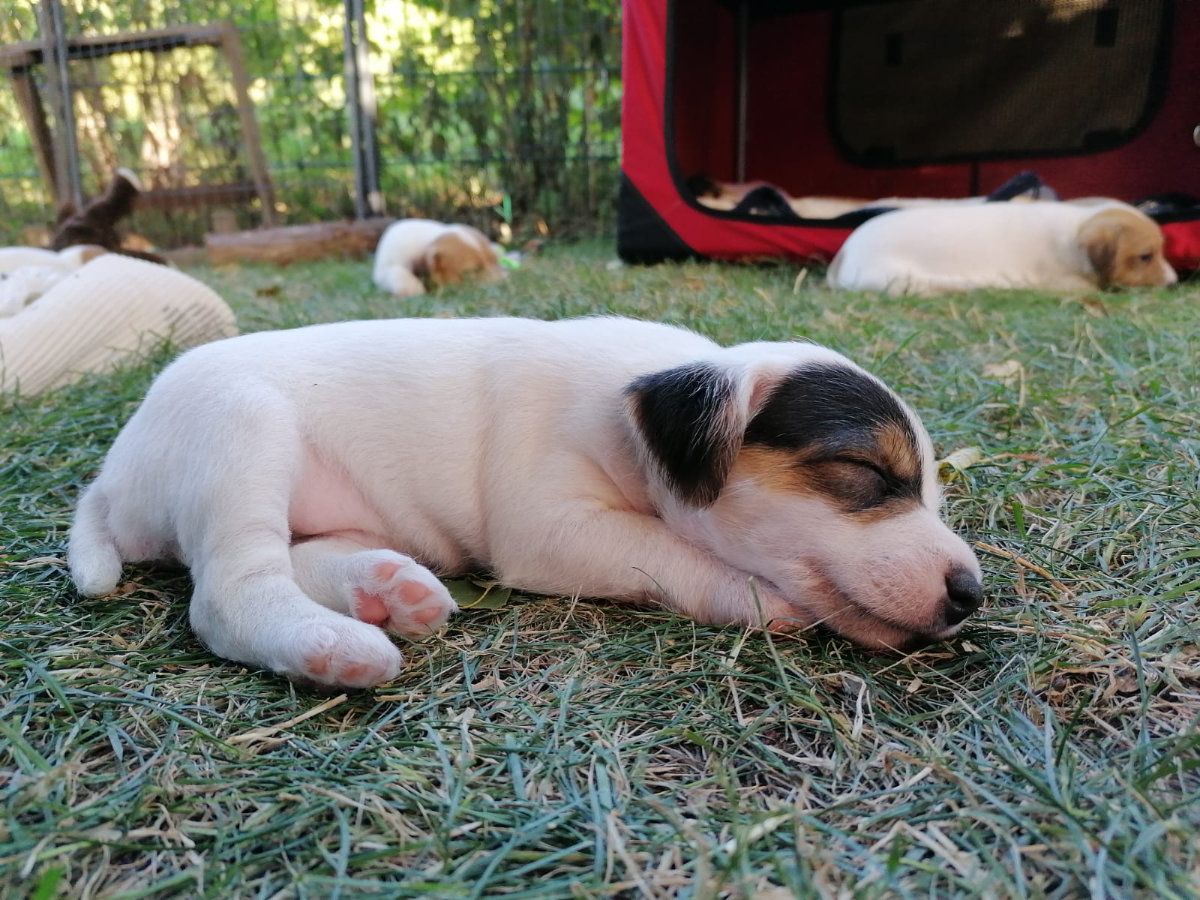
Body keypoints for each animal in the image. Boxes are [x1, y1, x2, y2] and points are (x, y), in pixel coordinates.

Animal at [68, 316, 983, 688]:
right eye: (866, 474)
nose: (972, 594)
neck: (629, 412)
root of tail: (111, 476)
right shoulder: (553, 528)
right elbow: (668, 552)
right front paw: (762, 601)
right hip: (243, 431)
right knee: (230, 592)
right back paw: (336, 648)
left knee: (302, 556)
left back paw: (389, 590)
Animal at [373, 219, 504, 297]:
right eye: (471, 271)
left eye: (495, 261)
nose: (504, 281)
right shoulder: (385, 270)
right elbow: (399, 274)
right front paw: (415, 289)